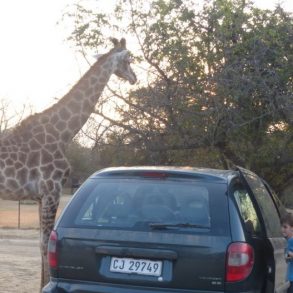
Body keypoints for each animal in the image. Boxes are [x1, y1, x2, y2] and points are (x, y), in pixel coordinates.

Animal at [0, 37, 136, 286]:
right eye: (129, 59)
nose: (134, 78)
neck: (63, 133)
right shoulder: (51, 190)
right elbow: (46, 244)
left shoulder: (40, 196)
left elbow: (41, 245)